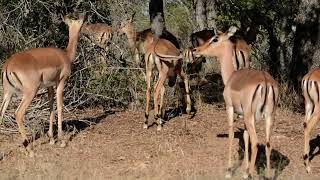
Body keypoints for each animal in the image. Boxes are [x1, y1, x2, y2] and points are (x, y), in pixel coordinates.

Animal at [0, 13, 84, 156]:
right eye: (81, 23)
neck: (66, 55)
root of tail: (8, 65)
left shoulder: (49, 86)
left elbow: (51, 106)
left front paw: (51, 139)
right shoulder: (61, 82)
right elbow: (59, 106)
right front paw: (62, 141)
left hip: (8, 93)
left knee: (1, 113)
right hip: (29, 93)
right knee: (18, 114)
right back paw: (30, 150)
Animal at [191, 26, 278, 179]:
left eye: (215, 39)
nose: (196, 50)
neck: (232, 76)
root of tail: (266, 82)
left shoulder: (230, 108)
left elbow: (231, 133)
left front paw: (229, 170)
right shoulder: (243, 116)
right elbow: (245, 136)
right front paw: (244, 168)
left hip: (251, 116)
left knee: (256, 142)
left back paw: (249, 175)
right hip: (269, 117)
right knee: (268, 143)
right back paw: (266, 175)